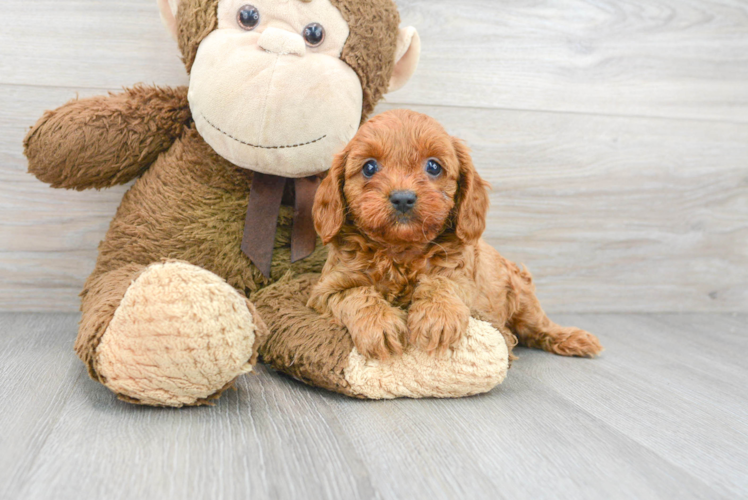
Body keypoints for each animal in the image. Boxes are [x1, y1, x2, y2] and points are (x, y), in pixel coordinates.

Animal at [306, 108, 604, 360]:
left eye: (433, 166)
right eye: (369, 167)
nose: (402, 198)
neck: (400, 250)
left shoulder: (462, 277)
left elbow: (441, 283)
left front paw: (438, 318)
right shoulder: (327, 289)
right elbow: (356, 294)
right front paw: (379, 325)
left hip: (522, 296)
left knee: (539, 326)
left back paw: (573, 338)